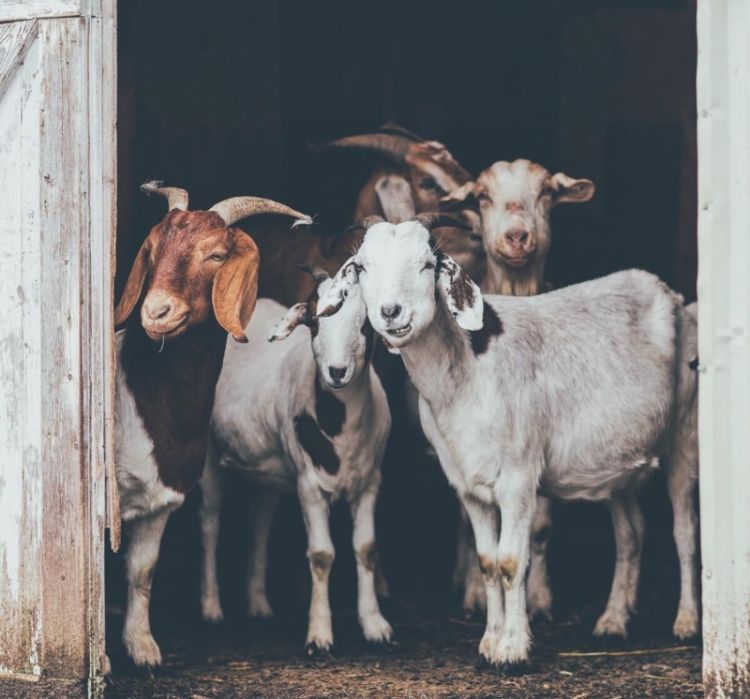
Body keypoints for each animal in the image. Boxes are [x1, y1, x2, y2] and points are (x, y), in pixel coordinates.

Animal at [112, 183, 312, 668]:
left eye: (216, 255)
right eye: (152, 249)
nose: (157, 311)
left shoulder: (161, 498)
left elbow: (142, 572)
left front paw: (142, 649)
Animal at [200, 270, 396, 656]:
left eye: (365, 324)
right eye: (314, 322)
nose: (337, 371)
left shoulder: (371, 482)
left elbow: (365, 548)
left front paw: (375, 625)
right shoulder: (309, 485)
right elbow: (321, 555)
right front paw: (319, 634)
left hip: (268, 466)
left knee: (259, 521)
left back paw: (258, 603)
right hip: (211, 454)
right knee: (211, 522)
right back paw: (212, 607)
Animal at [318, 213, 700, 672]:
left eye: (428, 264)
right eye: (361, 267)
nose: (391, 312)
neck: (466, 373)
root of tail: (668, 292)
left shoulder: (519, 476)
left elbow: (510, 560)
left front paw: (513, 649)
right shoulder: (467, 483)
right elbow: (486, 562)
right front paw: (489, 641)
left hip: (685, 432)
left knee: (684, 531)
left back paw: (687, 622)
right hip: (618, 460)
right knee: (631, 533)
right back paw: (612, 620)